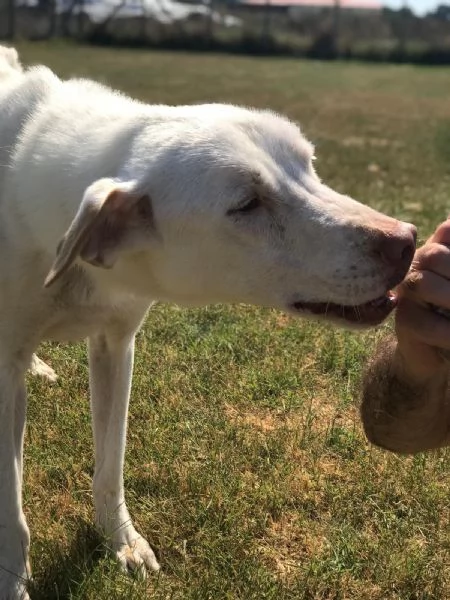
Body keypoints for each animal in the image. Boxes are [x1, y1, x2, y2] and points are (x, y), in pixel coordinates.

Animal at [0, 45, 414, 596]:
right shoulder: (6, 372)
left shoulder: (116, 344)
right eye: (247, 204)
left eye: (310, 166)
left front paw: (121, 542)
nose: (406, 240)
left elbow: (110, 464)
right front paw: (11, 579)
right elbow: (11, 506)